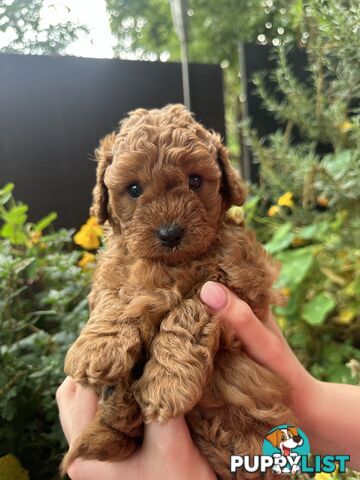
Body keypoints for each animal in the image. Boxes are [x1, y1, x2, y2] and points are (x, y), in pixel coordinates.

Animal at [62, 103, 296, 478]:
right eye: (134, 189)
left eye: (195, 181)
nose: (170, 233)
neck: (171, 264)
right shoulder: (115, 267)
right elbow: (114, 296)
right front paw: (97, 347)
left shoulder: (239, 281)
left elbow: (188, 312)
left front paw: (168, 382)